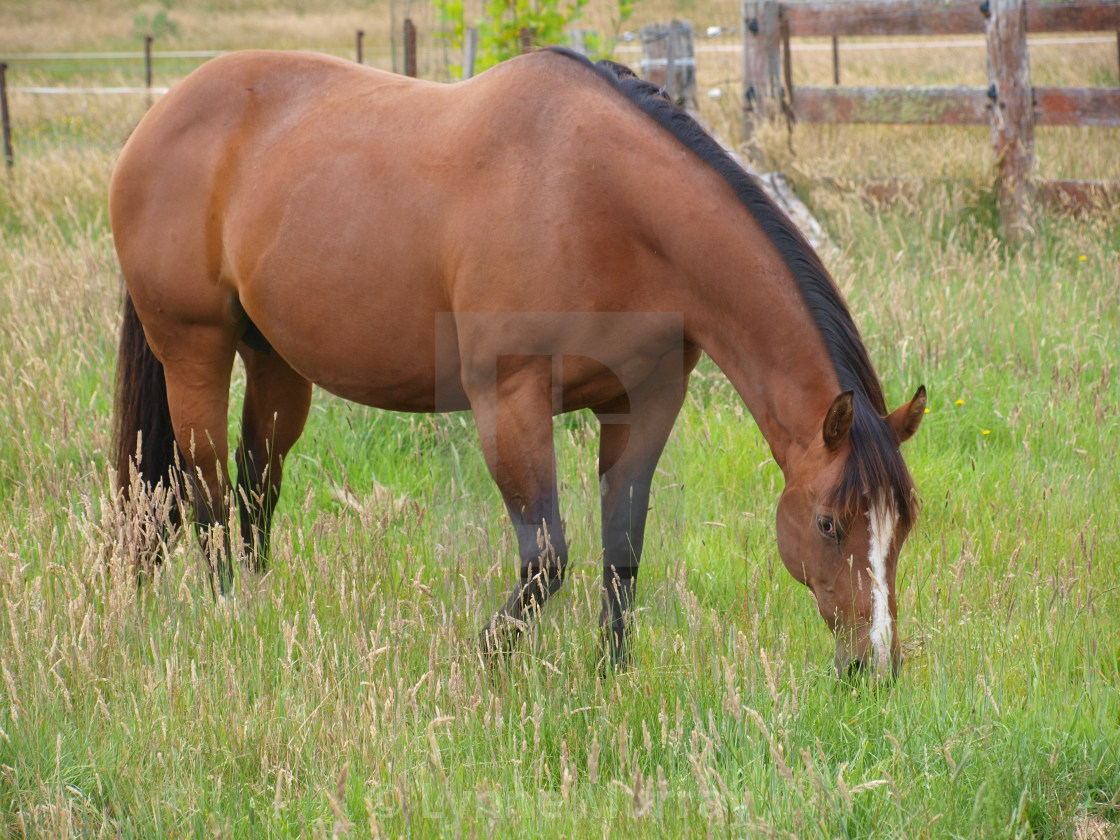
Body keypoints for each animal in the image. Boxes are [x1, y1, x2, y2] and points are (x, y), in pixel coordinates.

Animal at [106, 45, 927, 680]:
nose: (873, 667)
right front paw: (485, 662)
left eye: (903, 527)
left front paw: (610, 673)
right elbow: (547, 557)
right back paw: (228, 620)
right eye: (828, 524)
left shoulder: (644, 401)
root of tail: (160, 117)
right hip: (194, 348)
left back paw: (260, 611)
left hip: (275, 362)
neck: (601, 202)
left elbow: (622, 547)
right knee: (206, 493)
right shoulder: (510, 400)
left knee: (254, 492)